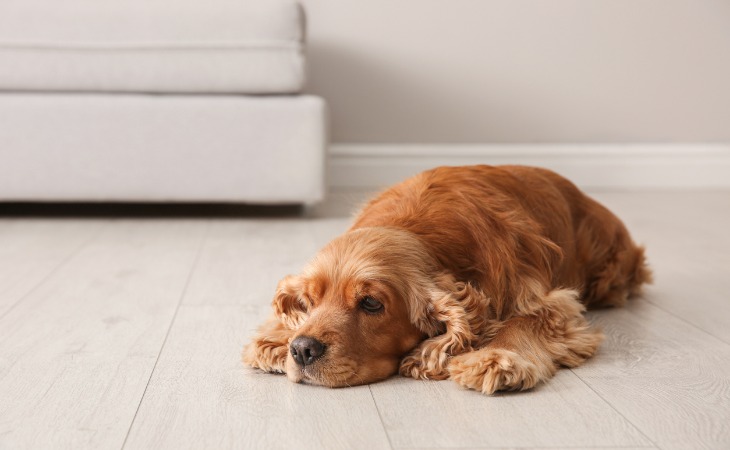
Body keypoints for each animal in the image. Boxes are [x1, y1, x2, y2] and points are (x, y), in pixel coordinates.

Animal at [243, 165, 648, 394]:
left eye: (371, 303)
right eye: (308, 302)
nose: (302, 349)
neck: (418, 230)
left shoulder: (547, 299)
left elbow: (528, 320)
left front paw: (497, 359)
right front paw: (275, 340)